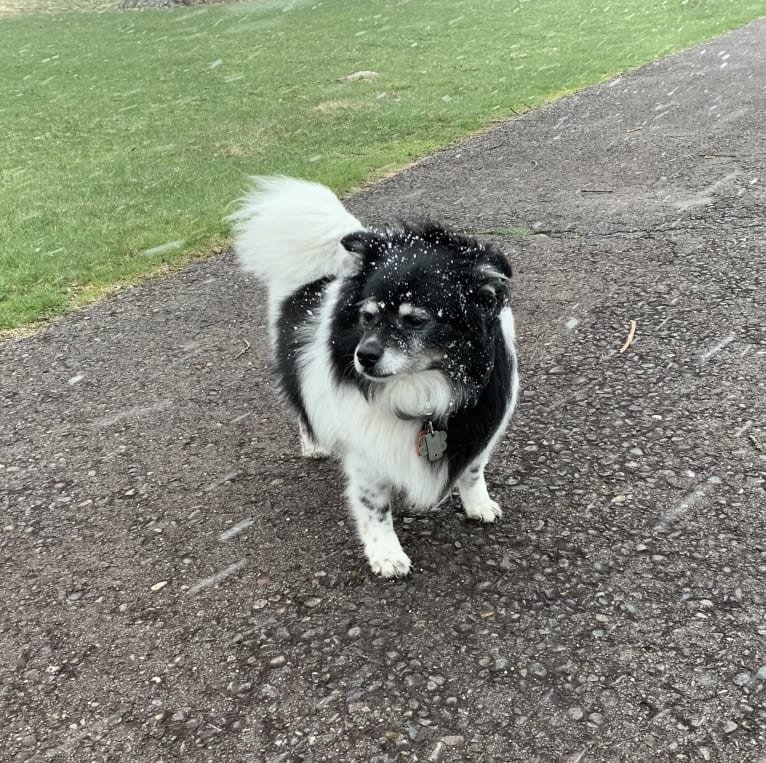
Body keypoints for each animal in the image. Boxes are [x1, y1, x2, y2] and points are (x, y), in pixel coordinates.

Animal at [232, 176, 520, 576]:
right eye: (367, 316)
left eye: (415, 320)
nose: (363, 356)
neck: (421, 387)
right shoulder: (366, 455)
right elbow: (375, 509)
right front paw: (386, 554)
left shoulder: (480, 430)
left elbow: (473, 471)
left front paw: (478, 505)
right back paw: (314, 444)